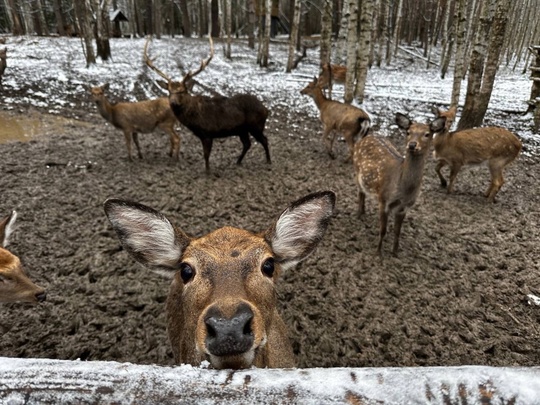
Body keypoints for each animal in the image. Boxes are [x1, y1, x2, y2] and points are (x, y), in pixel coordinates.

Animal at [144, 36, 272, 172]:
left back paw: (268, 161)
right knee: (247, 144)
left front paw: (208, 171)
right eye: (169, 91)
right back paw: (238, 162)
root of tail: (266, 109)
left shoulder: (208, 133)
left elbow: (206, 155)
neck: (194, 119)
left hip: (256, 126)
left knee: (264, 140)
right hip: (242, 130)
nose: (173, 102)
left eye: (182, 91)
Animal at [352, 112, 446, 254]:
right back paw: (359, 215)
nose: (412, 145)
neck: (403, 191)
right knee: (360, 192)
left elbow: (397, 231)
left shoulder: (405, 207)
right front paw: (378, 253)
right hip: (357, 170)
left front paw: (395, 252)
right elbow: (383, 230)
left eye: (427, 134)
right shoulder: (384, 200)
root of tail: (366, 137)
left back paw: (363, 213)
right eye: (408, 132)